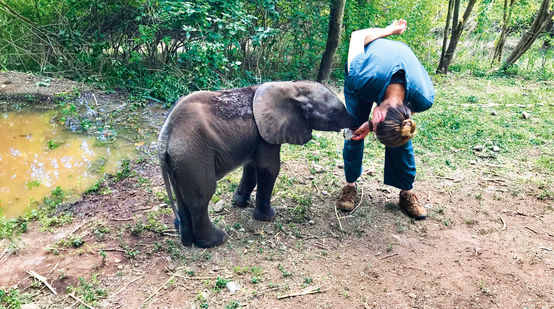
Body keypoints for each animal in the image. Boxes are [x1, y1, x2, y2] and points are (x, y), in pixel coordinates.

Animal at [158, 80, 354, 247]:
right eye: (333, 113)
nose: (356, 125)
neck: (293, 86)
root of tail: (166, 135)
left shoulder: (258, 137)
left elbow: (251, 167)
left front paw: (240, 204)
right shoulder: (266, 134)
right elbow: (270, 168)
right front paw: (269, 217)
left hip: (179, 160)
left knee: (182, 197)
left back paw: (185, 238)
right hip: (193, 155)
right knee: (201, 197)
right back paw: (217, 240)